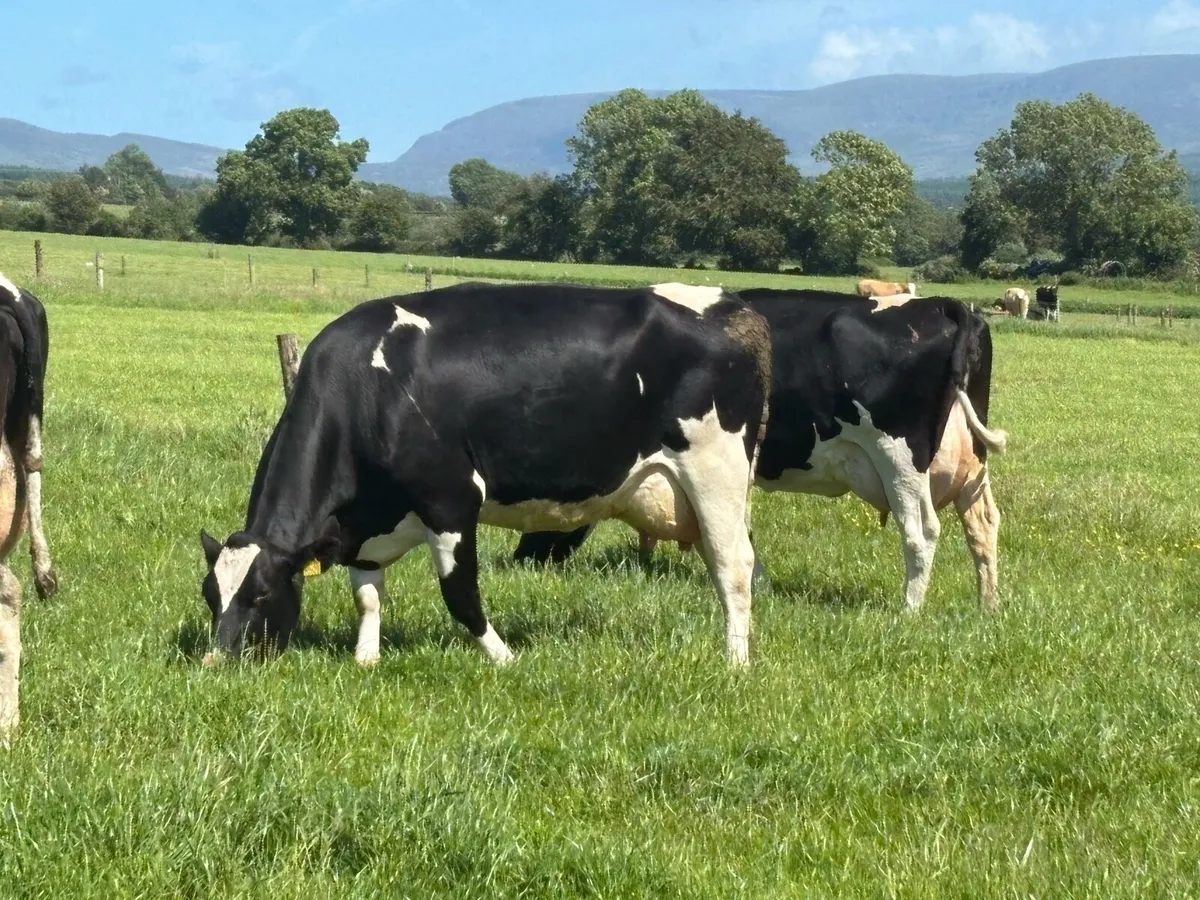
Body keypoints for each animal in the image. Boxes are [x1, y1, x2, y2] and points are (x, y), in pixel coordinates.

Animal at [198, 282, 772, 668]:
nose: (214, 661)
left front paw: (502, 656)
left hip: (715, 470)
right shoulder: (364, 524)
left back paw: (735, 663)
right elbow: (367, 593)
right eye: (210, 596)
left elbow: (460, 593)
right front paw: (366, 658)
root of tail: (733, 305)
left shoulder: (450, 498)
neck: (367, 387)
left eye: (262, 596)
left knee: (733, 566)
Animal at [515, 289, 1008, 613]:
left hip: (899, 458)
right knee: (983, 525)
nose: (522, 561)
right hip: (971, 465)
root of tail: (945, 305)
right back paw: (988, 605)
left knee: (921, 531)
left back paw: (909, 612)